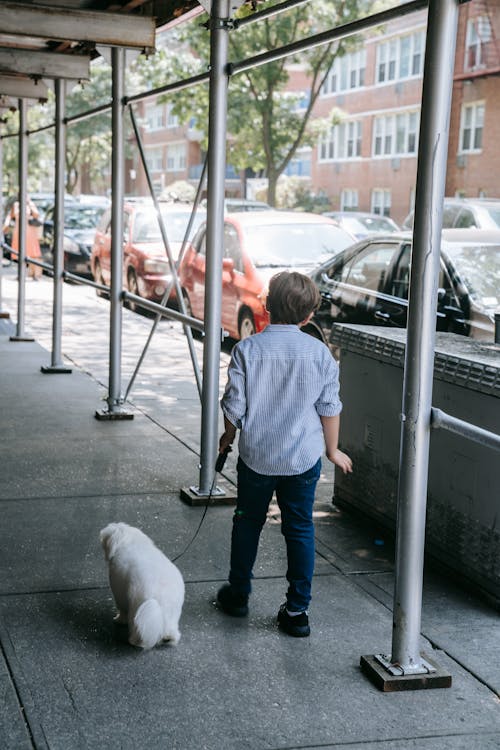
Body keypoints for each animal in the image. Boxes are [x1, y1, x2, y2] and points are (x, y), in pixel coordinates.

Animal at [98, 524, 185, 652]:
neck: (130, 542)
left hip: (136, 607)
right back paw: (168, 638)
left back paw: (135, 642)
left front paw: (119, 620)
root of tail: (161, 596)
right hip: (172, 613)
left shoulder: (119, 592)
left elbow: (122, 609)